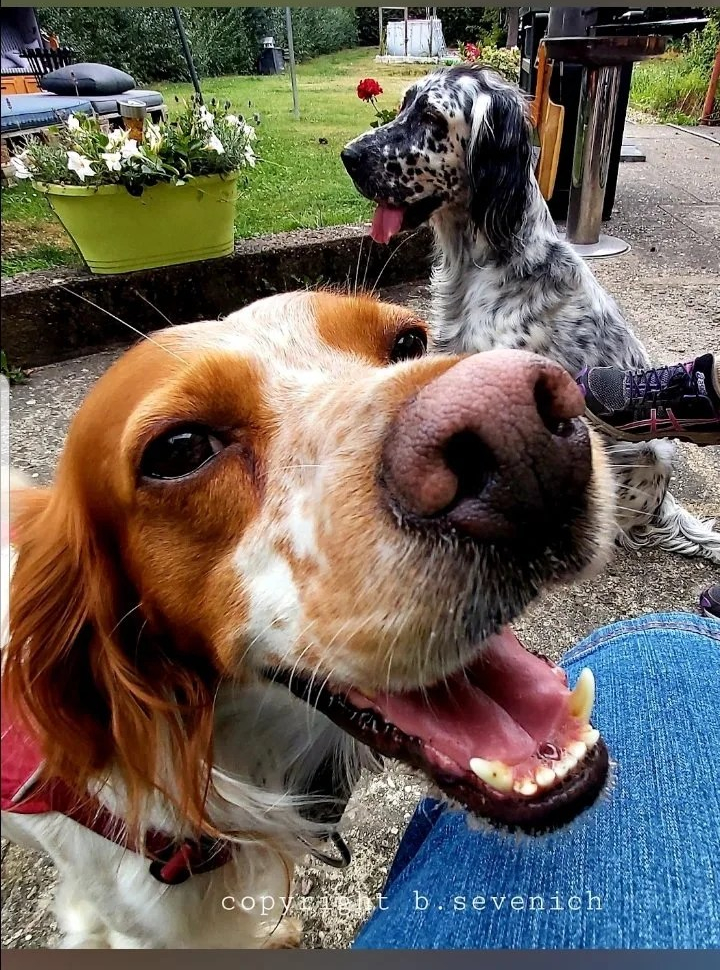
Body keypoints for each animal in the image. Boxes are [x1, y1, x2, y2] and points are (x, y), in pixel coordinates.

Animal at [341, 64, 720, 565]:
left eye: (431, 118)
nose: (348, 156)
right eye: (404, 105)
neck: (484, 264)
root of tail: (664, 505)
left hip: (650, 449)